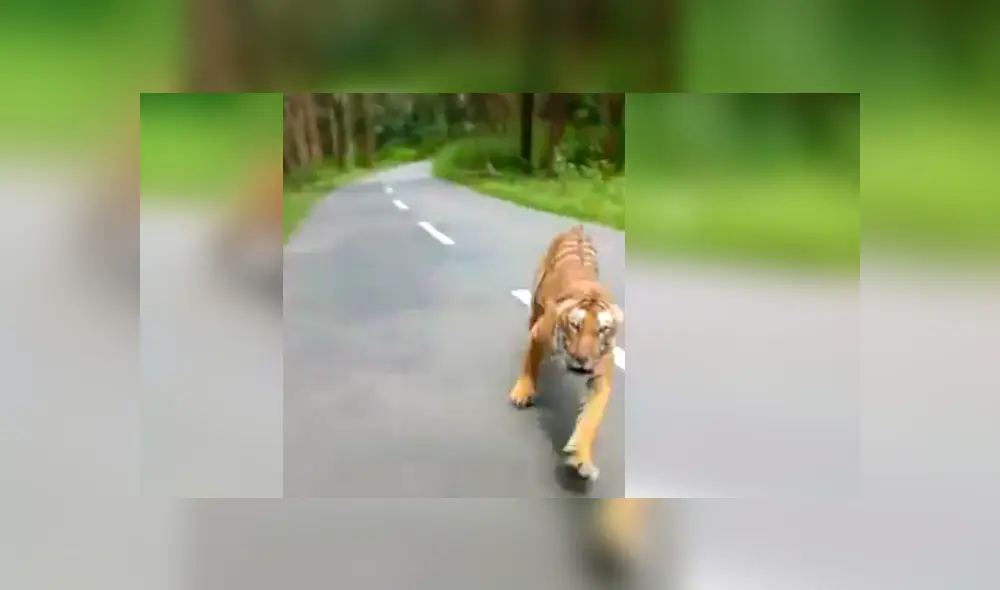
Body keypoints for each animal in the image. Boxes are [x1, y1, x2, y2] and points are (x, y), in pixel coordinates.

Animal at [508, 224, 623, 481]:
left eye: (602, 329)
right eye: (575, 326)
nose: (581, 359)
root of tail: (577, 227)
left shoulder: (601, 377)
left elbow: (591, 419)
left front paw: (581, 460)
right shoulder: (538, 333)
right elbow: (530, 364)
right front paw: (522, 393)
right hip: (535, 304)